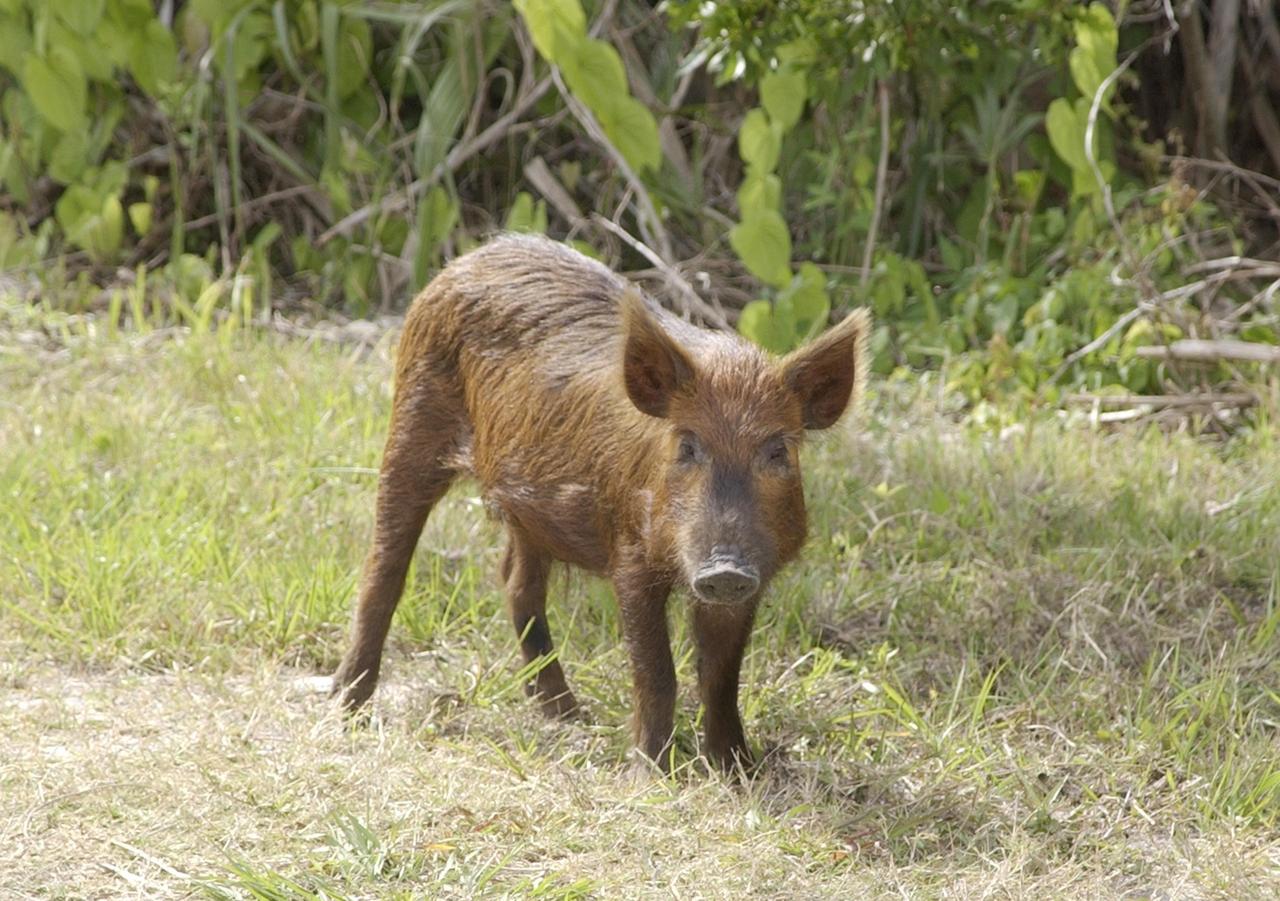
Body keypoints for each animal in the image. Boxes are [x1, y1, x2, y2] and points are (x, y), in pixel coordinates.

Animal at [332, 234, 870, 771]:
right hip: (411, 421)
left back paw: (568, 716)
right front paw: (651, 772)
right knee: (384, 568)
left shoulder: (749, 582)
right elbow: (656, 669)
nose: (725, 567)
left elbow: (721, 677)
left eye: (777, 451)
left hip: (528, 505)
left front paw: (739, 768)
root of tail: (467, 260)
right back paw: (346, 709)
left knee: (517, 583)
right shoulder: (629, 553)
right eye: (687, 445)